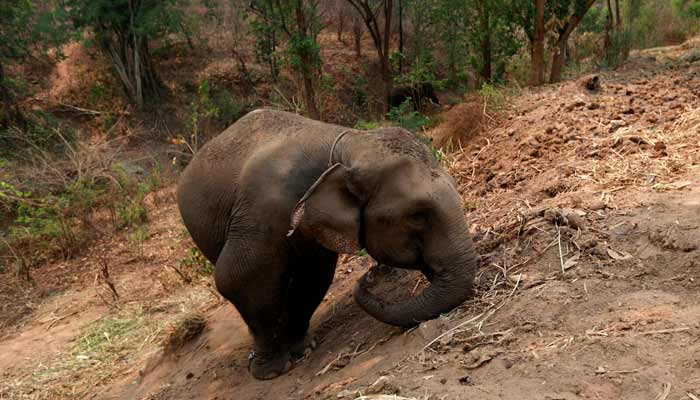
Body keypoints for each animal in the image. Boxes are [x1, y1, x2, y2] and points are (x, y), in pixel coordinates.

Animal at [176, 109, 477, 380]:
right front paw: (271, 371)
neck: (344, 147)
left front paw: (303, 348)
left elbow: (314, 277)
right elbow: (236, 277)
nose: (369, 277)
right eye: (417, 215)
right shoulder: (263, 212)